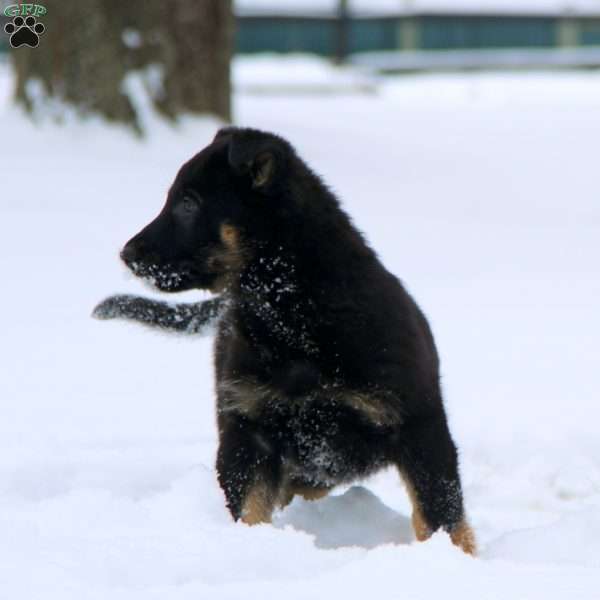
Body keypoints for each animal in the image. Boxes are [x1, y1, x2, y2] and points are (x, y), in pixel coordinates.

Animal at [95, 129, 478, 556]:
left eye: (189, 203)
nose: (127, 254)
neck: (293, 320)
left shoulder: (418, 426)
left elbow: (441, 514)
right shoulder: (248, 427)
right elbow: (248, 507)